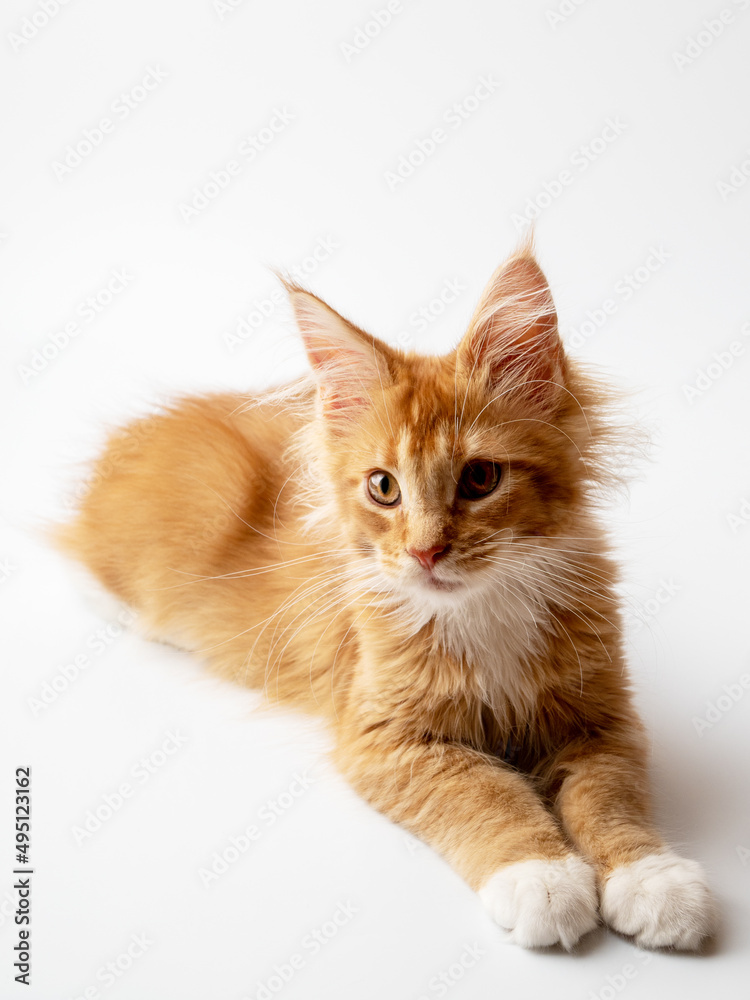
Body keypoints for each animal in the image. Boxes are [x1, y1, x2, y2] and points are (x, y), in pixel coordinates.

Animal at [57, 238, 716, 948]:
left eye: (480, 478)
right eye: (383, 487)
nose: (425, 552)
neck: (480, 613)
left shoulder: (603, 718)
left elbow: (611, 797)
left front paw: (654, 879)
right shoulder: (383, 735)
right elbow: (485, 793)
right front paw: (540, 877)